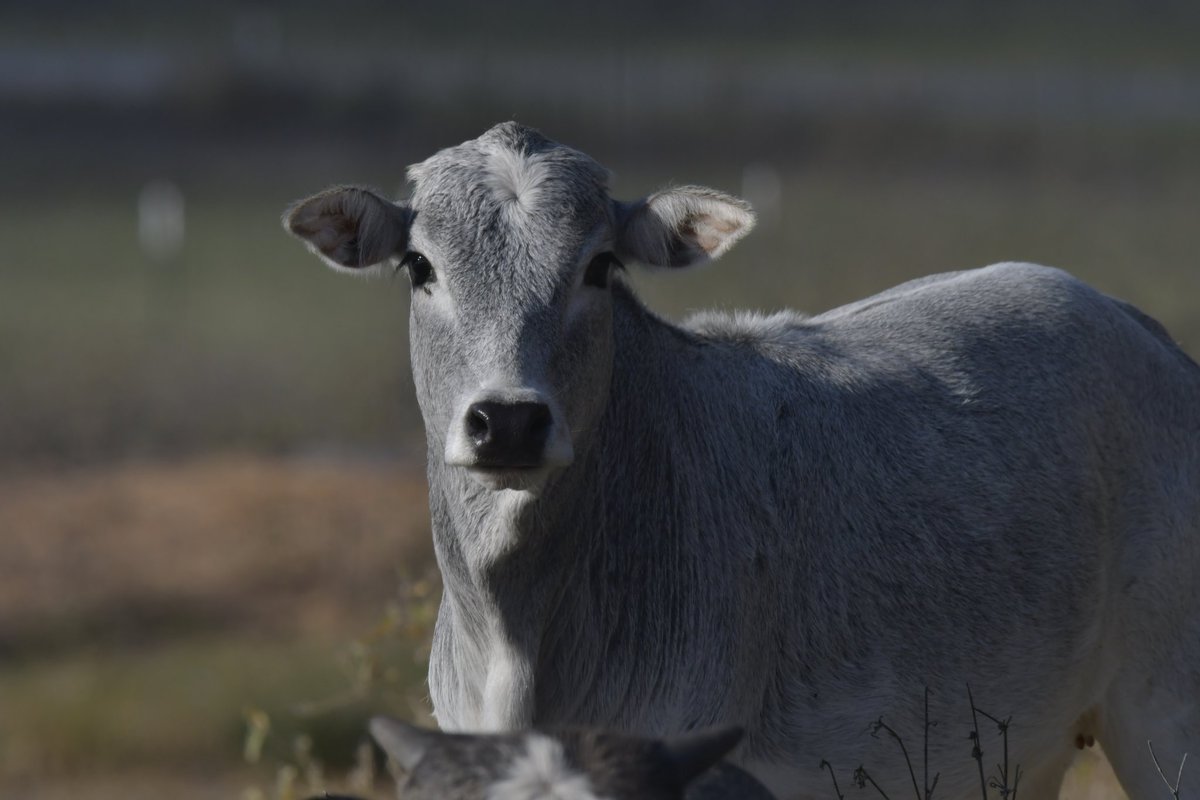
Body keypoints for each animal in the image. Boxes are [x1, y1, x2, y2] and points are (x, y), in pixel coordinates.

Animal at [284, 122, 1200, 799]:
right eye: (420, 265)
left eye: (600, 265)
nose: (508, 421)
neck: (525, 626)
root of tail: (1134, 324)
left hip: (1166, 725)